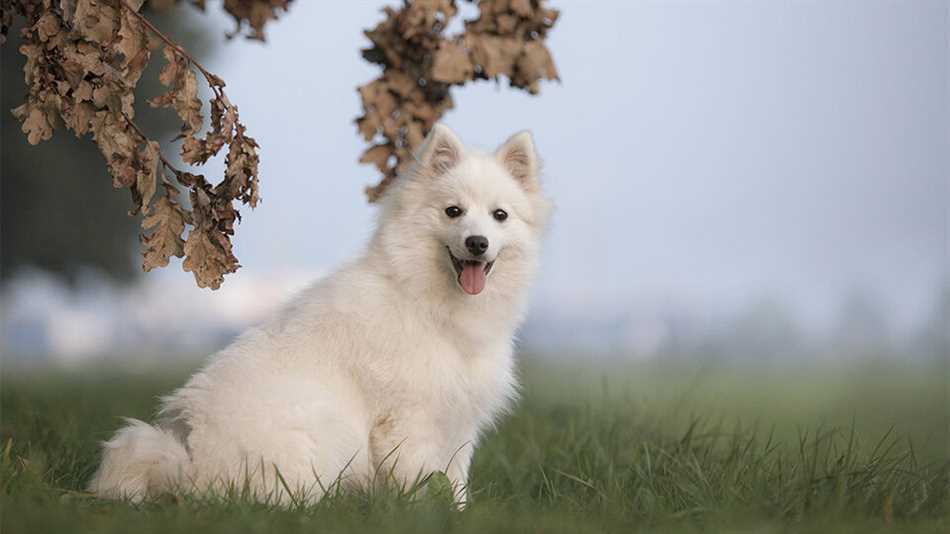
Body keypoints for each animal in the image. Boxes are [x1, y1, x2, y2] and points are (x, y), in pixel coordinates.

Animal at [91, 125, 552, 506]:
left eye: (499, 216)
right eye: (453, 211)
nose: (477, 243)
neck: (428, 300)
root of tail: (193, 464)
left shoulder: (458, 422)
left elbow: (455, 485)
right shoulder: (408, 419)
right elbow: (419, 480)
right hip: (326, 428)